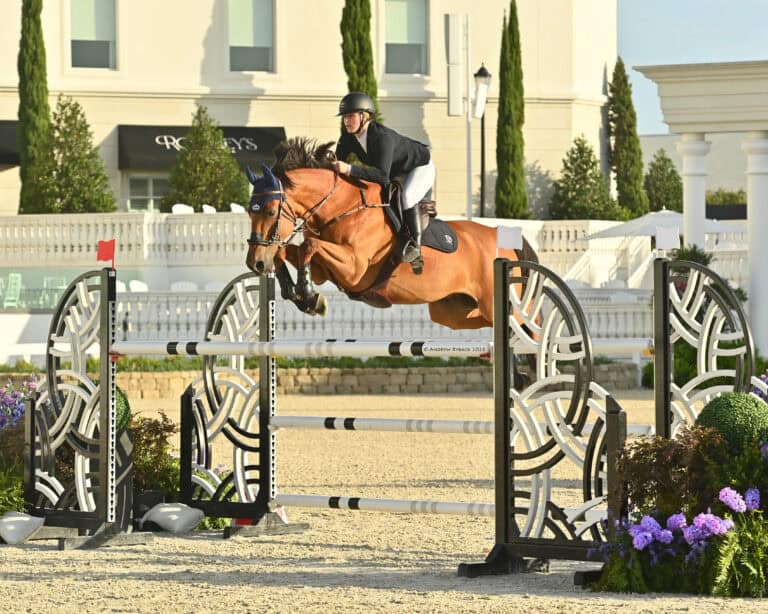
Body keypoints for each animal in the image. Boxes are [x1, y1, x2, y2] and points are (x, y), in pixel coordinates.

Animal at [243, 137, 538, 331]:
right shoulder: (325, 270)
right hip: (455, 313)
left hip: (494, 304)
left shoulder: (354, 268)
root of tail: (505, 243)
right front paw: (296, 292)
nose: (254, 262)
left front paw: (308, 295)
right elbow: (290, 250)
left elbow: (309, 246)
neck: (343, 207)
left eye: (270, 211)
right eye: (249, 211)